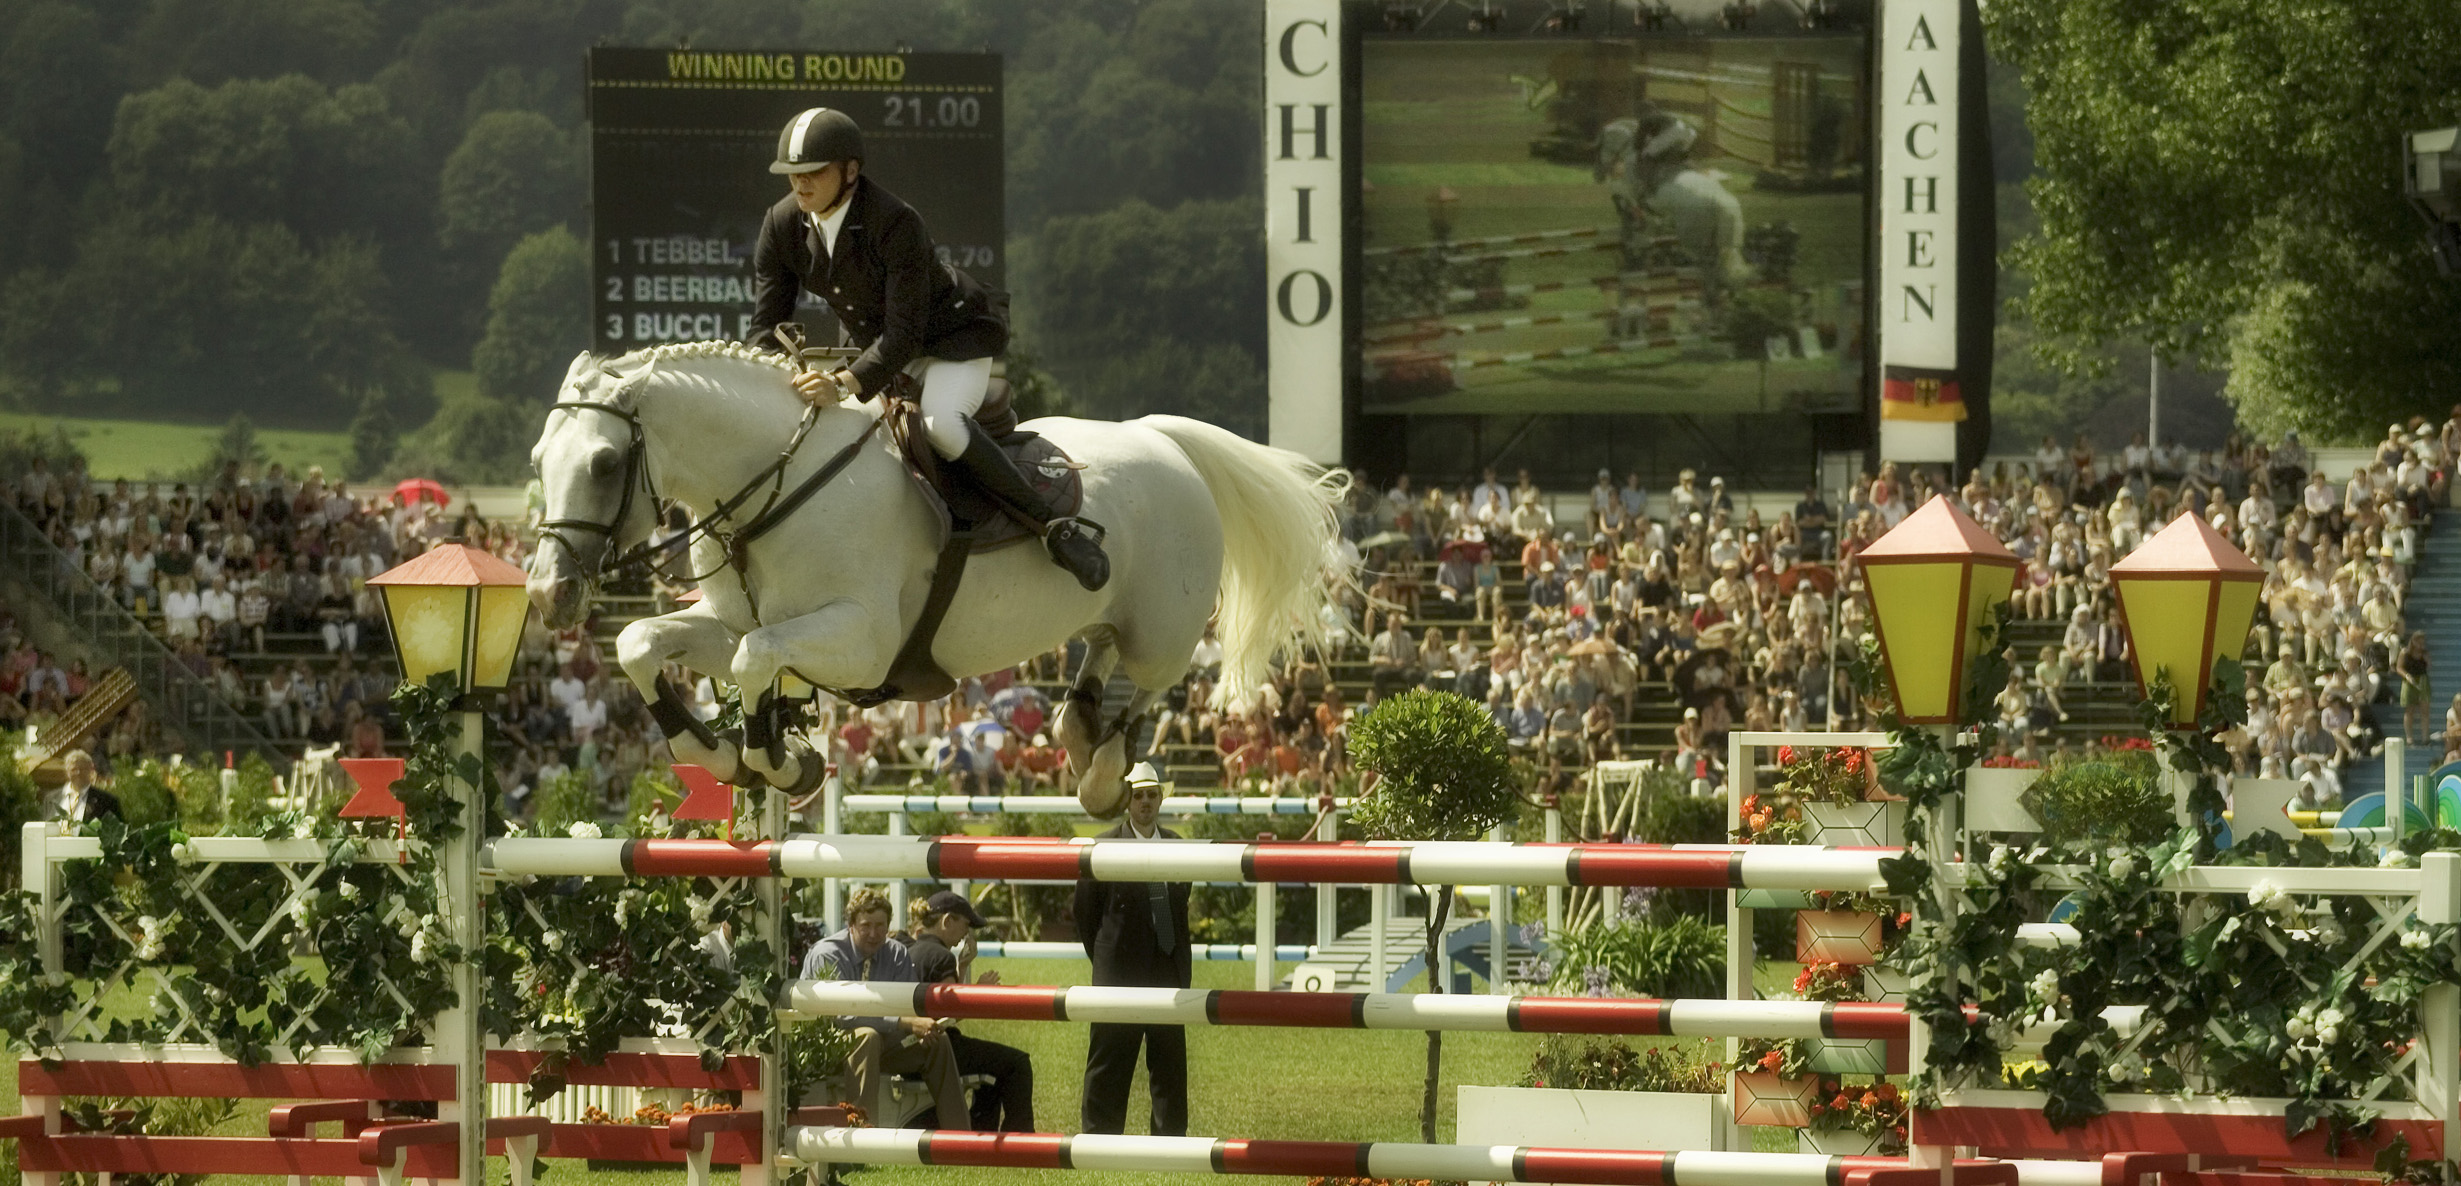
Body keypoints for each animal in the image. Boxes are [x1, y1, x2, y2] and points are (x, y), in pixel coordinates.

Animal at [524, 343, 1348, 815]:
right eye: (537, 460)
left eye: (604, 463)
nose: (547, 595)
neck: (775, 491)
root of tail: (1163, 437)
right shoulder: (732, 624)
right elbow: (640, 643)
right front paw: (731, 756)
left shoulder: (859, 643)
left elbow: (755, 661)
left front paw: (775, 761)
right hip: (1110, 617)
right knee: (1099, 659)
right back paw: (1079, 730)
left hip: (1164, 629)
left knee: (1144, 687)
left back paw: (1104, 774)